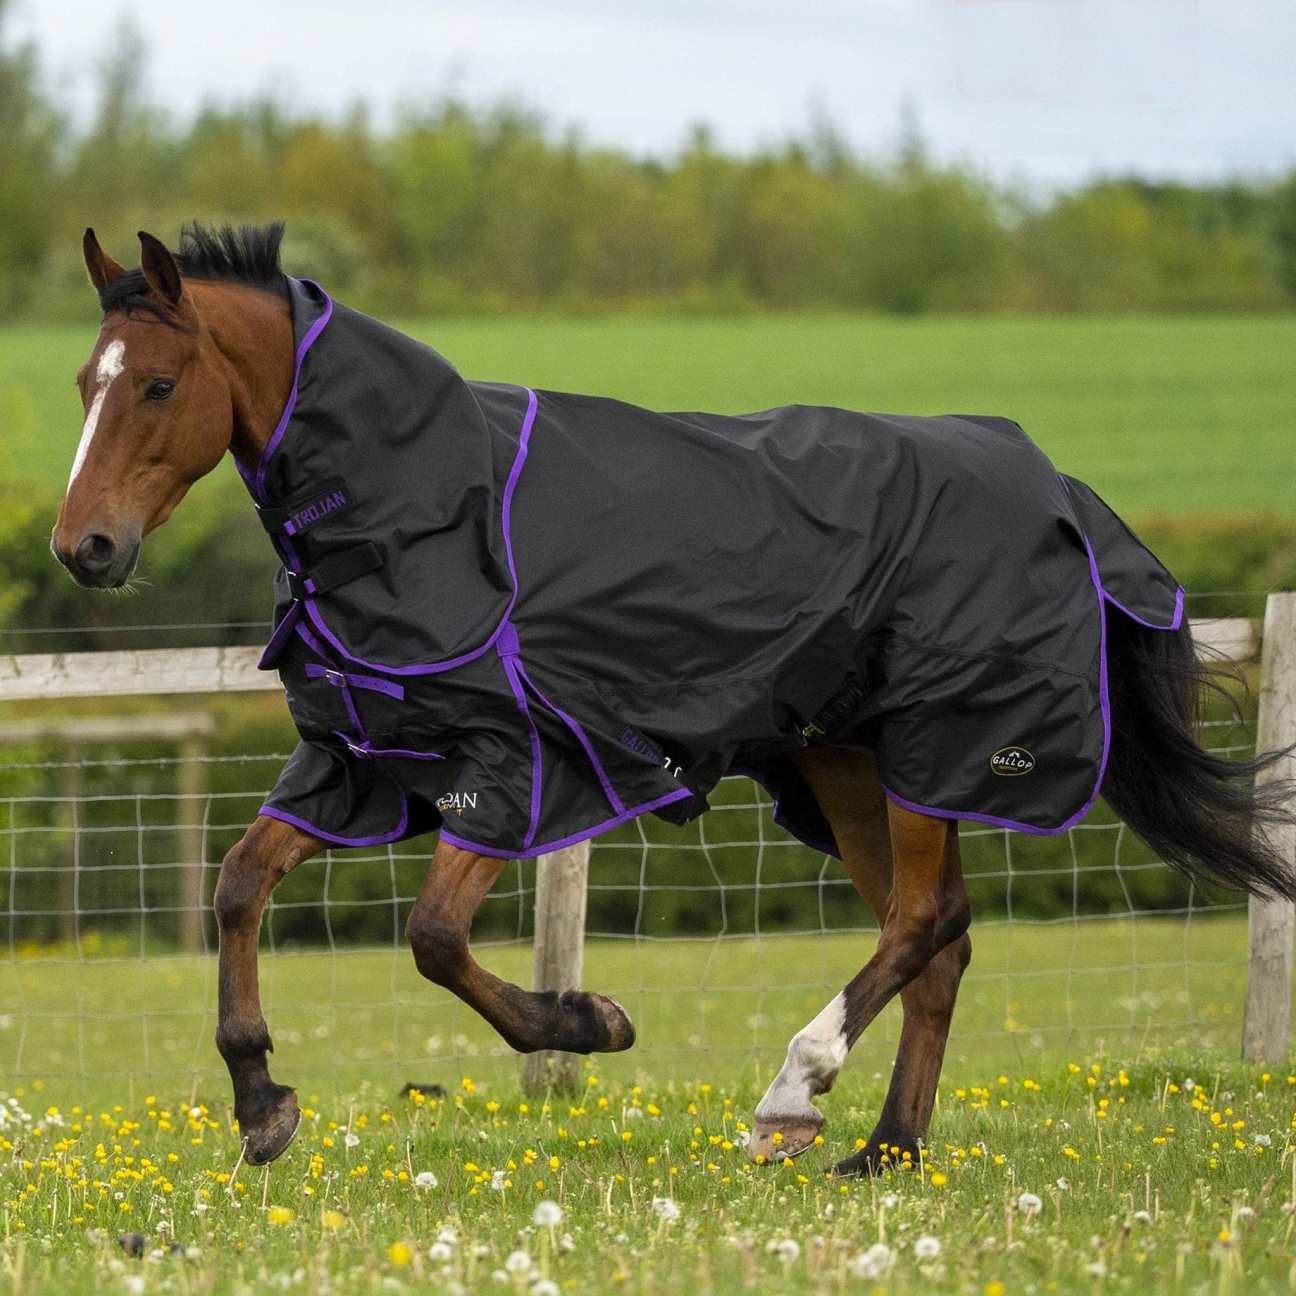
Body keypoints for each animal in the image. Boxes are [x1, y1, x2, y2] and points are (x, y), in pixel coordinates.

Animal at [53, 223, 1296, 1174]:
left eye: (158, 382)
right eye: (82, 384)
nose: (84, 548)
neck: (422, 504)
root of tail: (1058, 487)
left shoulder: (516, 766)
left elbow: (434, 939)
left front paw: (589, 1022)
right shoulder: (357, 763)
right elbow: (237, 886)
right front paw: (262, 1104)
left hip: (938, 755)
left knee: (920, 923)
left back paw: (794, 1094)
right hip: (851, 765)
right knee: (939, 939)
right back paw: (883, 1149)